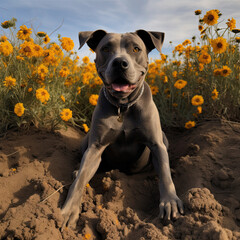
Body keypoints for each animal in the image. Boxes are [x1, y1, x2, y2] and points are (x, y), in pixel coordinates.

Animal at [61, 29, 184, 228]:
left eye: (136, 49)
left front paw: (170, 202)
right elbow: (80, 180)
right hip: (86, 141)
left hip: (164, 138)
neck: (123, 107)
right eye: (105, 48)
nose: (120, 63)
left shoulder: (156, 144)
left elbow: (165, 175)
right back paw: (75, 171)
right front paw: (69, 210)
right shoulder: (95, 147)